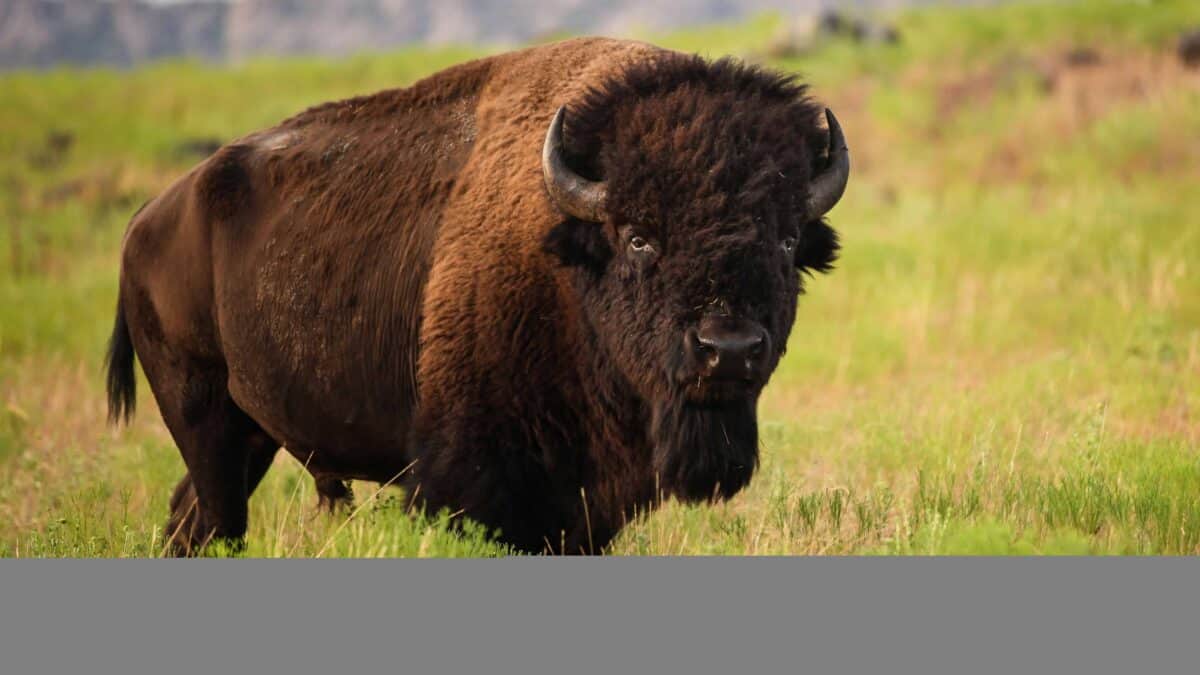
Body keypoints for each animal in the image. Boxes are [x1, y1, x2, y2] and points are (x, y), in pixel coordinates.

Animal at [104, 37, 849, 555]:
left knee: (190, 521)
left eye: (787, 238)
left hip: (249, 432)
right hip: (204, 417)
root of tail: (147, 219)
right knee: (215, 519)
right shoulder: (465, 480)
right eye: (639, 236)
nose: (728, 349)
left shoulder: (581, 507)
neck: (568, 265)